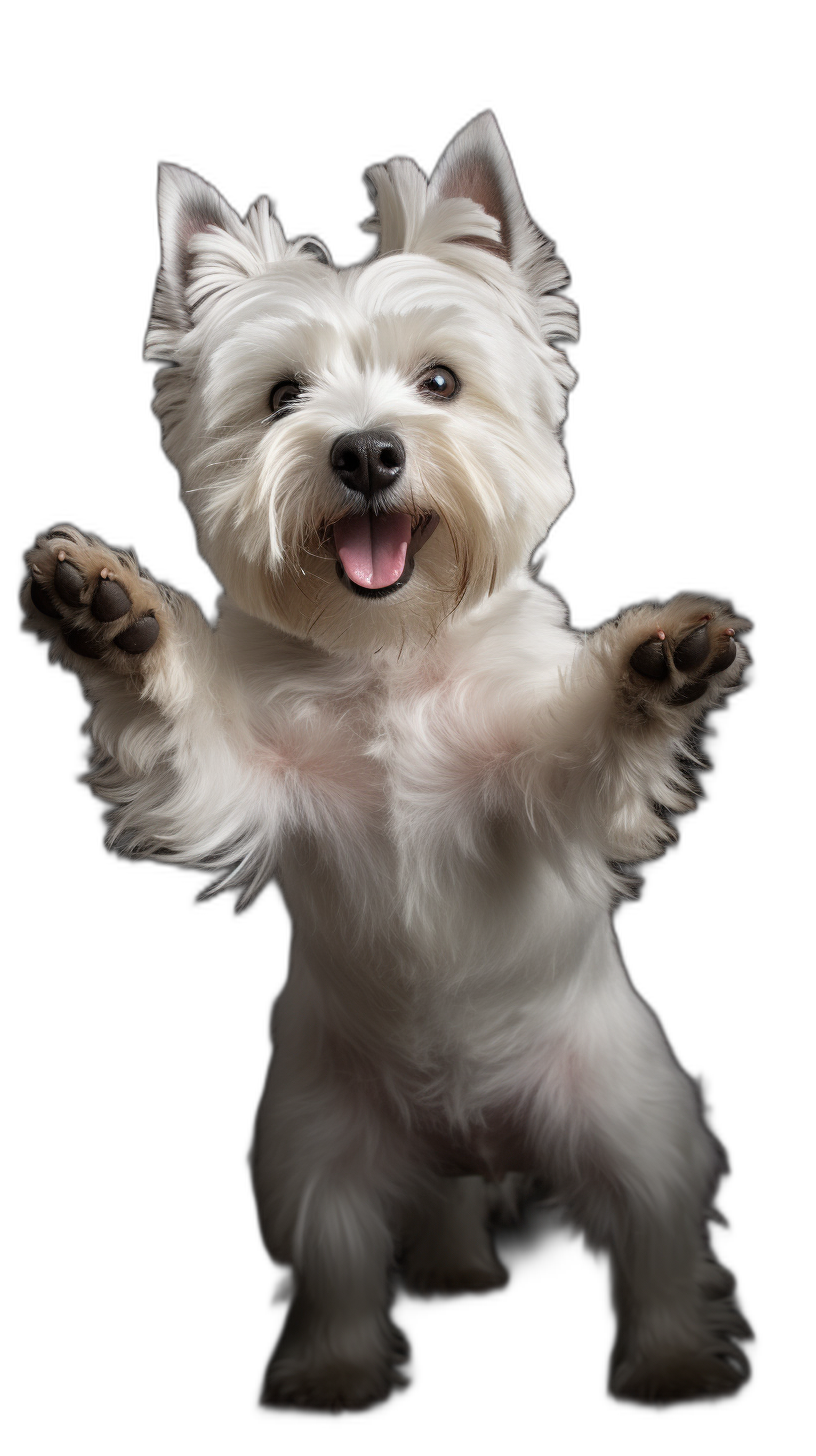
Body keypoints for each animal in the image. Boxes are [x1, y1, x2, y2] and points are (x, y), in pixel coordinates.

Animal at [22, 113, 751, 1409]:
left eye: (442, 382)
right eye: (282, 397)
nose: (365, 453)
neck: (392, 659)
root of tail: (472, 1134)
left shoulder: (535, 798)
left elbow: (588, 755)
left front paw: (656, 663)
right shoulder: (251, 787)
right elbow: (188, 743)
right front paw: (114, 616)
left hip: (636, 1117)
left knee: (658, 1243)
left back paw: (671, 1360)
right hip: (310, 1143)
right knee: (344, 1260)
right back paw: (344, 1359)